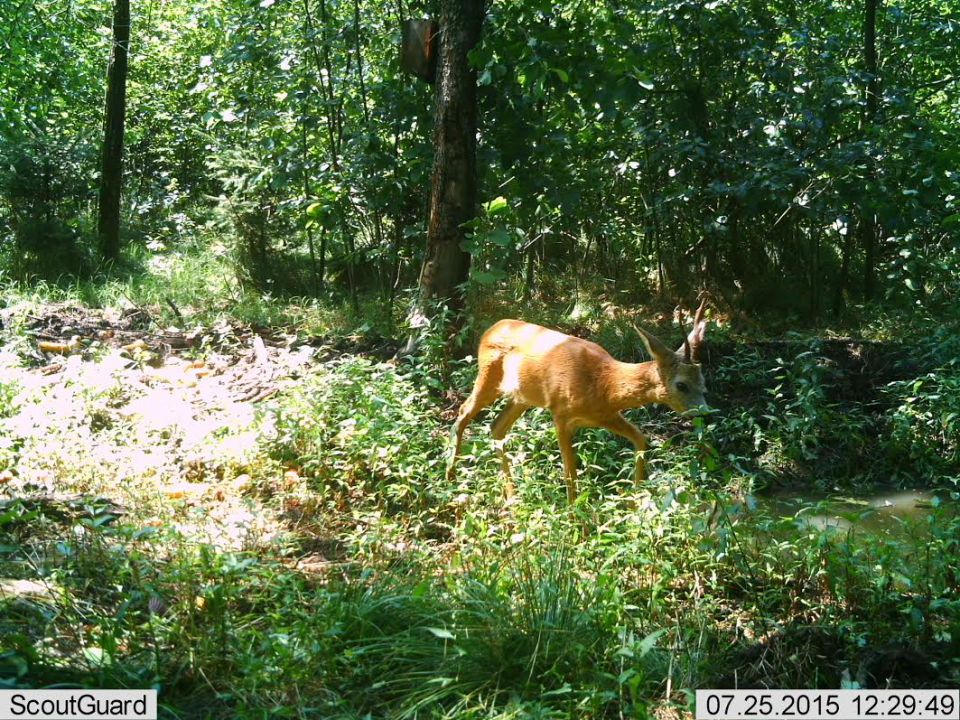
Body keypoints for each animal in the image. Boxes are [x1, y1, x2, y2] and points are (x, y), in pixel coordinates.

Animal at [446, 300, 708, 504]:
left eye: (703, 380)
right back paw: (452, 479)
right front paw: (576, 521)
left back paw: (512, 496)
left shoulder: (604, 415)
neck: (605, 382)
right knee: (463, 412)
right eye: (682, 384)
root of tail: (490, 329)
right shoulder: (560, 413)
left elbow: (640, 438)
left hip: (523, 397)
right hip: (488, 377)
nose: (705, 411)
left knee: (497, 427)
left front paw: (634, 500)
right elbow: (570, 474)